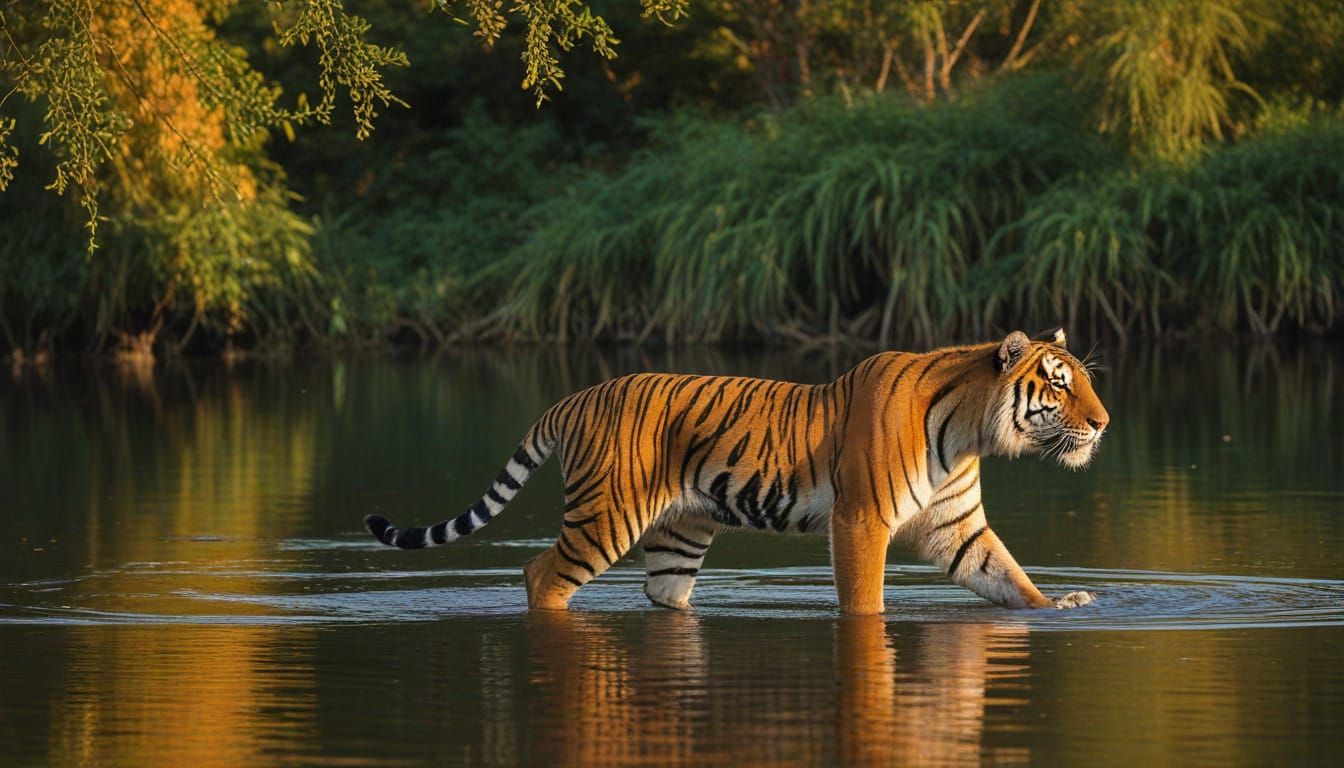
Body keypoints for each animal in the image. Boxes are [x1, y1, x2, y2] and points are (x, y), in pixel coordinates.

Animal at [363, 329, 1108, 615]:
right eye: (1059, 383)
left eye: (1082, 381)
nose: (1103, 424)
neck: (968, 431)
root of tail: (575, 396)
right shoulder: (860, 519)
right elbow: (863, 599)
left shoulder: (957, 527)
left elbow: (1007, 576)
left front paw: (1058, 608)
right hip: (606, 516)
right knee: (540, 573)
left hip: (677, 536)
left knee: (662, 595)